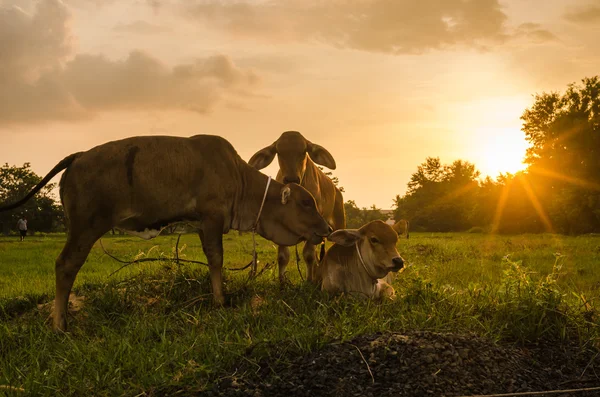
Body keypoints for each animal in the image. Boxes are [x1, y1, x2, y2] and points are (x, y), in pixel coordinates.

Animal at [0, 135, 330, 330]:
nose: (327, 228)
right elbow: (216, 260)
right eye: (305, 203)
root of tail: (79, 156)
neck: (239, 179)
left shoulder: (203, 225)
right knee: (65, 265)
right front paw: (220, 301)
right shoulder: (212, 219)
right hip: (85, 228)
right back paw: (60, 323)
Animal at [248, 131, 344, 284]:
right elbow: (283, 256)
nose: (291, 179)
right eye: (279, 152)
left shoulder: (315, 225)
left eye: (303, 152)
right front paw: (282, 282)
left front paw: (309, 281)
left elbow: (309, 255)